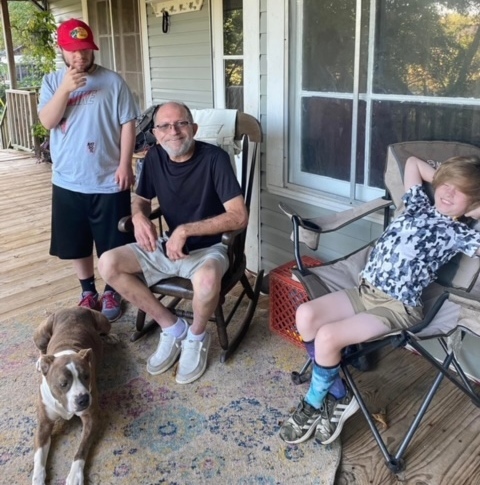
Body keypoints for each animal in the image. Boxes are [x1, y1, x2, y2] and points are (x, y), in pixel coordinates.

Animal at [32, 307, 111, 485]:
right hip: (41, 335)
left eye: (87, 376)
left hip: (103, 321)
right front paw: (38, 478)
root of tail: (73, 307)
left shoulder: (91, 418)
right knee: (41, 349)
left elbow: (81, 449)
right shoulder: (44, 424)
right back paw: (41, 361)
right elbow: (39, 455)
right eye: (63, 384)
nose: (83, 399)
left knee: (105, 330)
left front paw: (75, 475)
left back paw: (111, 337)